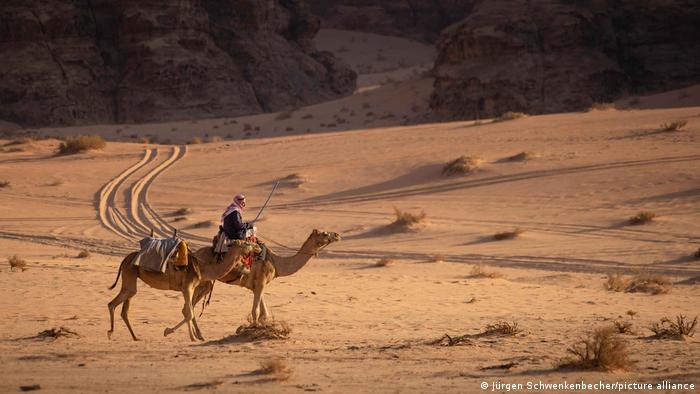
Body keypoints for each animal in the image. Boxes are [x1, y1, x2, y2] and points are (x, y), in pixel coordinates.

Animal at [108, 239, 262, 340]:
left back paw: (134, 337)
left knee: (124, 307)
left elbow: (189, 311)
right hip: (129, 273)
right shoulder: (187, 287)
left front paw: (172, 331)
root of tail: (125, 259)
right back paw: (111, 333)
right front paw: (190, 337)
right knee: (114, 303)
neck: (203, 268)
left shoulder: (190, 287)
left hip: (131, 277)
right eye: (247, 243)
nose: (258, 247)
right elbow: (189, 313)